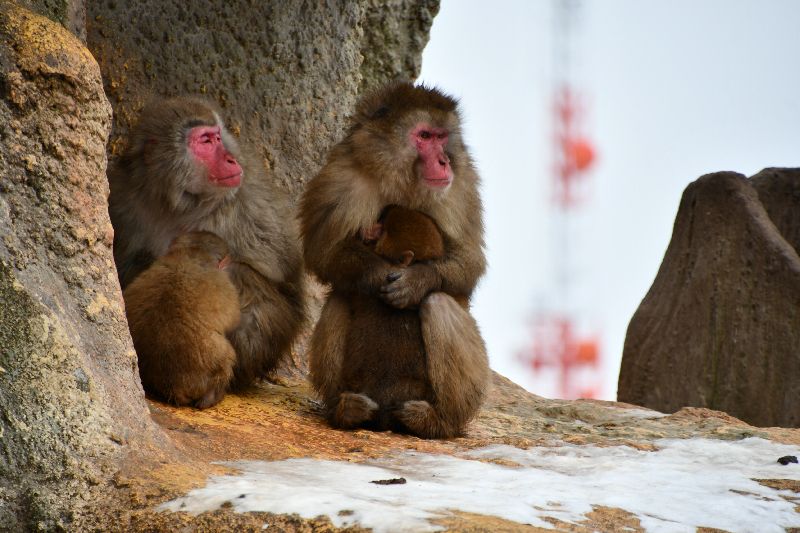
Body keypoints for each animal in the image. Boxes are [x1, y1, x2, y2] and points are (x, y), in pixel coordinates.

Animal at [298, 83, 488, 438]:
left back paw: (438, 421)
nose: (444, 161)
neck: (401, 178)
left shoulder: (462, 184)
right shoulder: (340, 175)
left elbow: (469, 260)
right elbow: (324, 251)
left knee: (438, 303)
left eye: (442, 137)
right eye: (424, 136)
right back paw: (344, 410)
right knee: (341, 295)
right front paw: (378, 275)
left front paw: (416, 281)